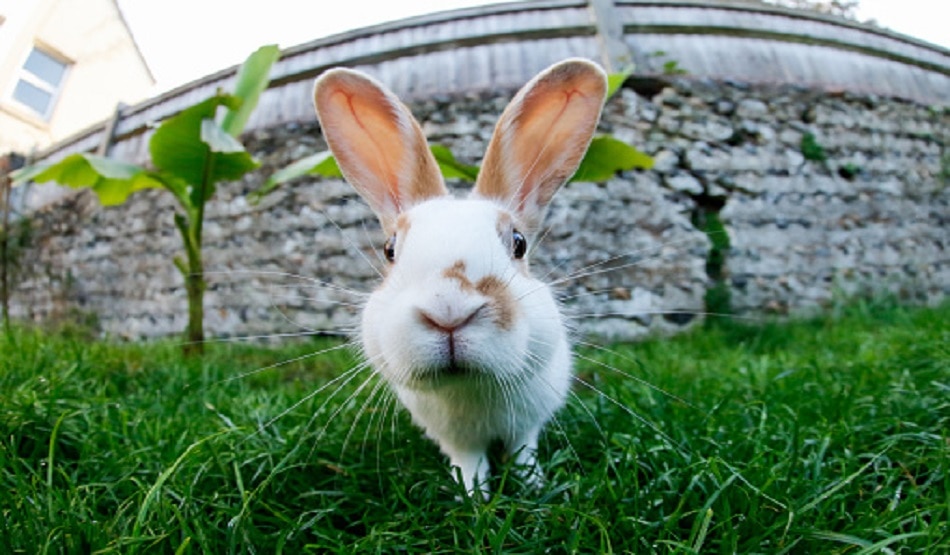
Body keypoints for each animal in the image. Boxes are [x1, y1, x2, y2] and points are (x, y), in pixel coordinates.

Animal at [312, 58, 607, 495]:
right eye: (390, 250)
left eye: (519, 243)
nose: (448, 311)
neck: (469, 388)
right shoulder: (456, 439)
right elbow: (470, 463)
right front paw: (472, 496)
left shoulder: (526, 425)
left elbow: (524, 452)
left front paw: (534, 487)